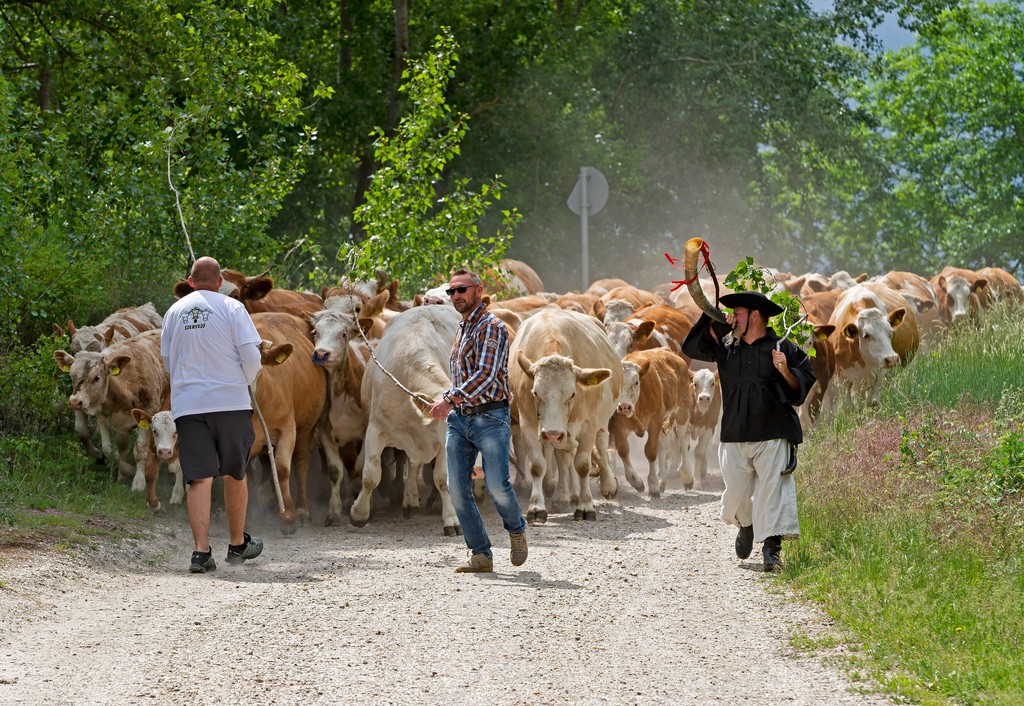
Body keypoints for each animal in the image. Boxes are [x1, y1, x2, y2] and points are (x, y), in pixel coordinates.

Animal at [507, 309, 618, 522]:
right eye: (535, 393)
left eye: (572, 394)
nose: (552, 434)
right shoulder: (529, 425)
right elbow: (538, 465)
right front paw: (536, 507)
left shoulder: (588, 425)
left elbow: (582, 464)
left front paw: (586, 506)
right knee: (563, 457)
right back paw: (562, 495)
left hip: (600, 422)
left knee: (601, 443)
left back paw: (608, 484)